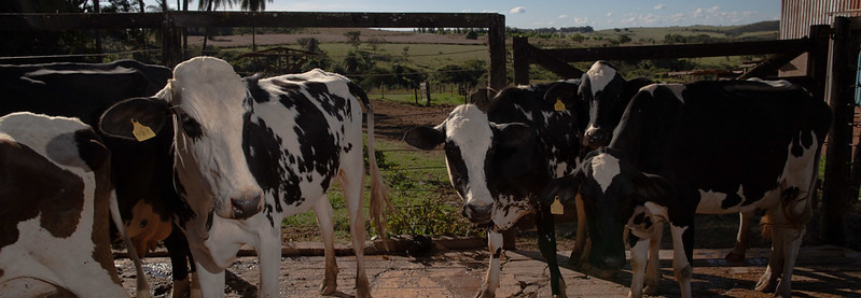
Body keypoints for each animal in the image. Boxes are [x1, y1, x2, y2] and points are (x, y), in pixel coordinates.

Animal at [98, 57, 390, 298]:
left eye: (248, 117)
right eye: (188, 121)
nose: (246, 203)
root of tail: (336, 76)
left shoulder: (269, 237)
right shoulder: (199, 249)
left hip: (352, 165)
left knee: (356, 228)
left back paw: (362, 287)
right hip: (315, 178)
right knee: (326, 219)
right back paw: (329, 281)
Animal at [404, 81, 580, 298]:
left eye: (492, 148)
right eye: (451, 149)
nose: (478, 208)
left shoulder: (543, 199)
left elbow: (547, 246)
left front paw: (558, 289)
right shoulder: (491, 208)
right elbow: (493, 245)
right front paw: (488, 287)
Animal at [540, 81, 828, 298]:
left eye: (626, 195)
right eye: (586, 197)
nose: (609, 260)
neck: (654, 135)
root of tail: (813, 98)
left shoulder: (682, 209)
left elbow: (683, 269)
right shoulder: (642, 215)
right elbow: (638, 262)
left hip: (798, 186)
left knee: (794, 234)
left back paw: (784, 287)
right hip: (776, 191)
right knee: (779, 228)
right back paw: (768, 280)